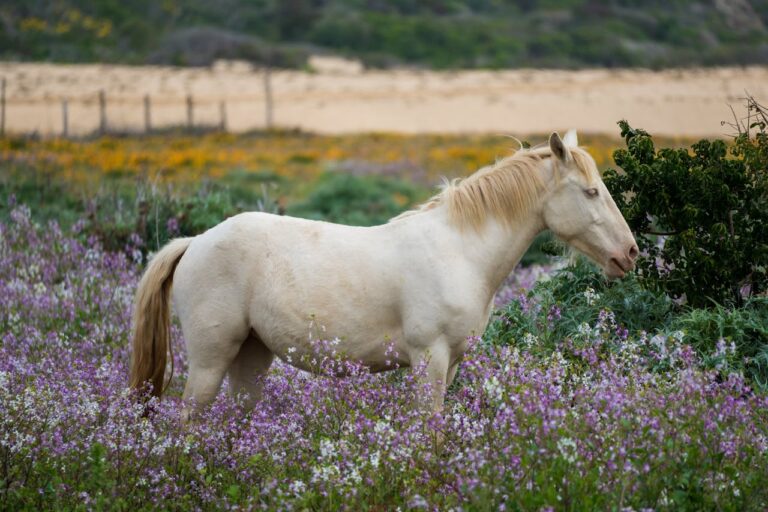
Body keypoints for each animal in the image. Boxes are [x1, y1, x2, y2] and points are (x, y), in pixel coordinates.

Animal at [129, 131, 640, 416]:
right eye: (591, 192)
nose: (630, 253)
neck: (459, 250)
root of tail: (194, 242)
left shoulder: (451, 363)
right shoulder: (428, 358)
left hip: (251, 357)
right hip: (211, 361)